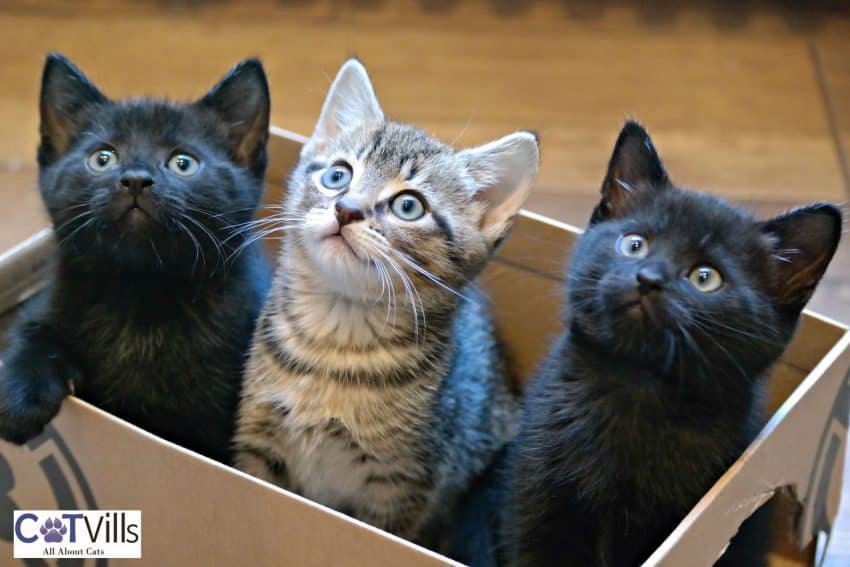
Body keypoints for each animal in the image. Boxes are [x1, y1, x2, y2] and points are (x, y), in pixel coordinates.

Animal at [0, 52, 270, 466]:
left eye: (183, 163)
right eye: (102, 158)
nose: (136, 179)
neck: (140, 291)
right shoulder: (49, 303)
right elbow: (30, 334)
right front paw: (18, 399)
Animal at [232, 58, 536, 552]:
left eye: (408, 206)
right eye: (337, 175)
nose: (347, 209)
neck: (334, 345)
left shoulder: (402, 489)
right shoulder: (257, 441)